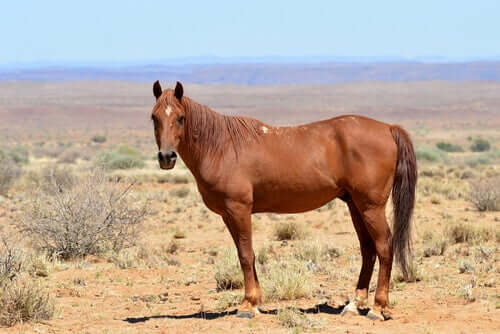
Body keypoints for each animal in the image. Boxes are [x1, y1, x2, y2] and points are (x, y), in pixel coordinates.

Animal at [150, 81, 416, 320]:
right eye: (154, 118)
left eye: (181, 118)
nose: (166, 157)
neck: (222, 147)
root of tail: (388, 128)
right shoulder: (228, 215)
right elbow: (246, 254)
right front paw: (254, 302)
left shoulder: (239, 209)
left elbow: (245, 255)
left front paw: (247, 306)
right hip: (355, 205)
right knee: (368, 249)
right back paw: (353, 305)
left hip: (371, 207)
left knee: (384, 247)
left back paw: (377, 308)